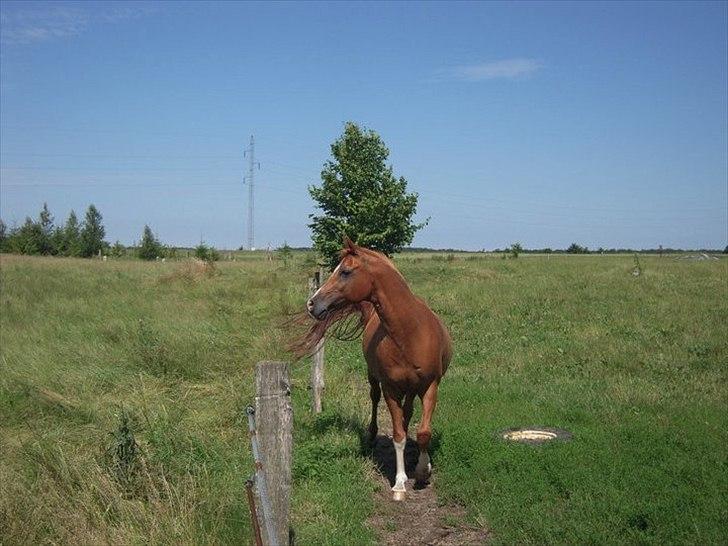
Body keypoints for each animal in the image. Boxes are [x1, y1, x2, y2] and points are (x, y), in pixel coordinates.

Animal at [302, 236, 450, 500]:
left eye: (345, 271)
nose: (312, 304)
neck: (410, 332)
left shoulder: (430, 386)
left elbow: (424, 432)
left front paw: (424, 470)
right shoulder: (390, 388)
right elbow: (398, 436)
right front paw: (400, 483)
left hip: (411, 389)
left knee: (407, 412)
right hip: (374, 378)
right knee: (375, 398)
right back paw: (371, 434)